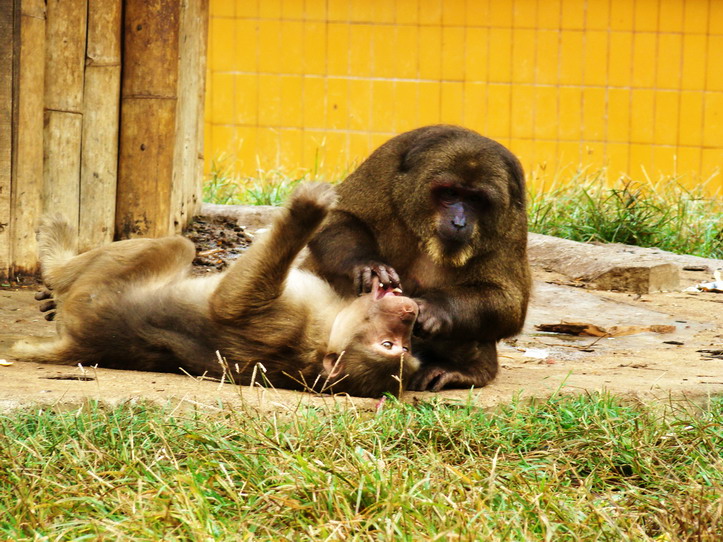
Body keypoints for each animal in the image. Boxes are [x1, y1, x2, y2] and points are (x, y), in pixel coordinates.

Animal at [14, 183, 422, 400]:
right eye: (399, 345)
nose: (411, 313)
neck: (326, 330)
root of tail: (83, 343)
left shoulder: (287, 327)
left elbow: (229, 305)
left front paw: (304, 215)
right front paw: (371, 271)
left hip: (96, 290)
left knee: (174, 247)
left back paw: (56, 262)